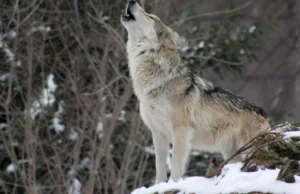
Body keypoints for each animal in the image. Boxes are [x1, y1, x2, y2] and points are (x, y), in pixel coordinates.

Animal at [120, 0, 270, 184]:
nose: (131, 1)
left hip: (247, 149)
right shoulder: (158, 133)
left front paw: (174, 184)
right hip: (232, 154)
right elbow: (159, 169)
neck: (157, 81)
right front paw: (159, 186)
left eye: (151, 16)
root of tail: (262, 112)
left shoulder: (180, 131)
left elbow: (176, 167)